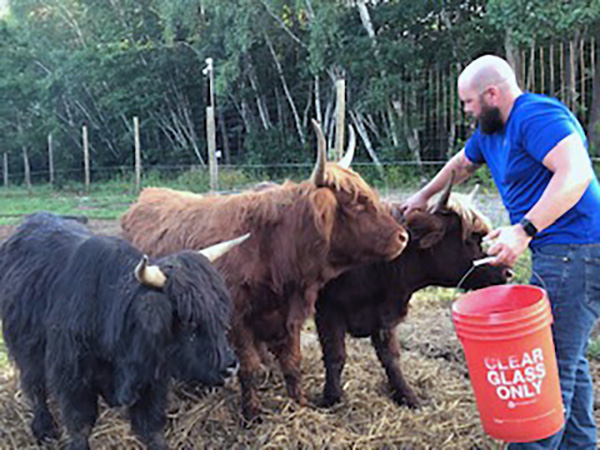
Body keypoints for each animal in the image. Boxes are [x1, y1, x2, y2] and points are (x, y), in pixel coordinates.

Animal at [0, 214, 246, 450]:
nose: (230, 366)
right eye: (187, 319)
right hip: (26, 350)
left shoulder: (152, 380)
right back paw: (44, 430)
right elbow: (80, 426)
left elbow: (152, 428)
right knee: (35, 387)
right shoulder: (73, 379)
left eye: (221, 310)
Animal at [120, 120, 408, 422]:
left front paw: (299, 405)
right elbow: (249, 368)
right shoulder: (237, 320)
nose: (403, 237)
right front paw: (252, 414)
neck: (270, 248)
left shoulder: (290, 316)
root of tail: (147, 194)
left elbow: (292, 364)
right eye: (356, 202)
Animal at [314, 179, 510, 408]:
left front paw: (407, 395)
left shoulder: (384, 317)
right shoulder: (328, 310)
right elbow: (335, 355)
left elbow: (391, 358)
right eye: (470, 240)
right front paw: (331, 398)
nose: (507, 271)